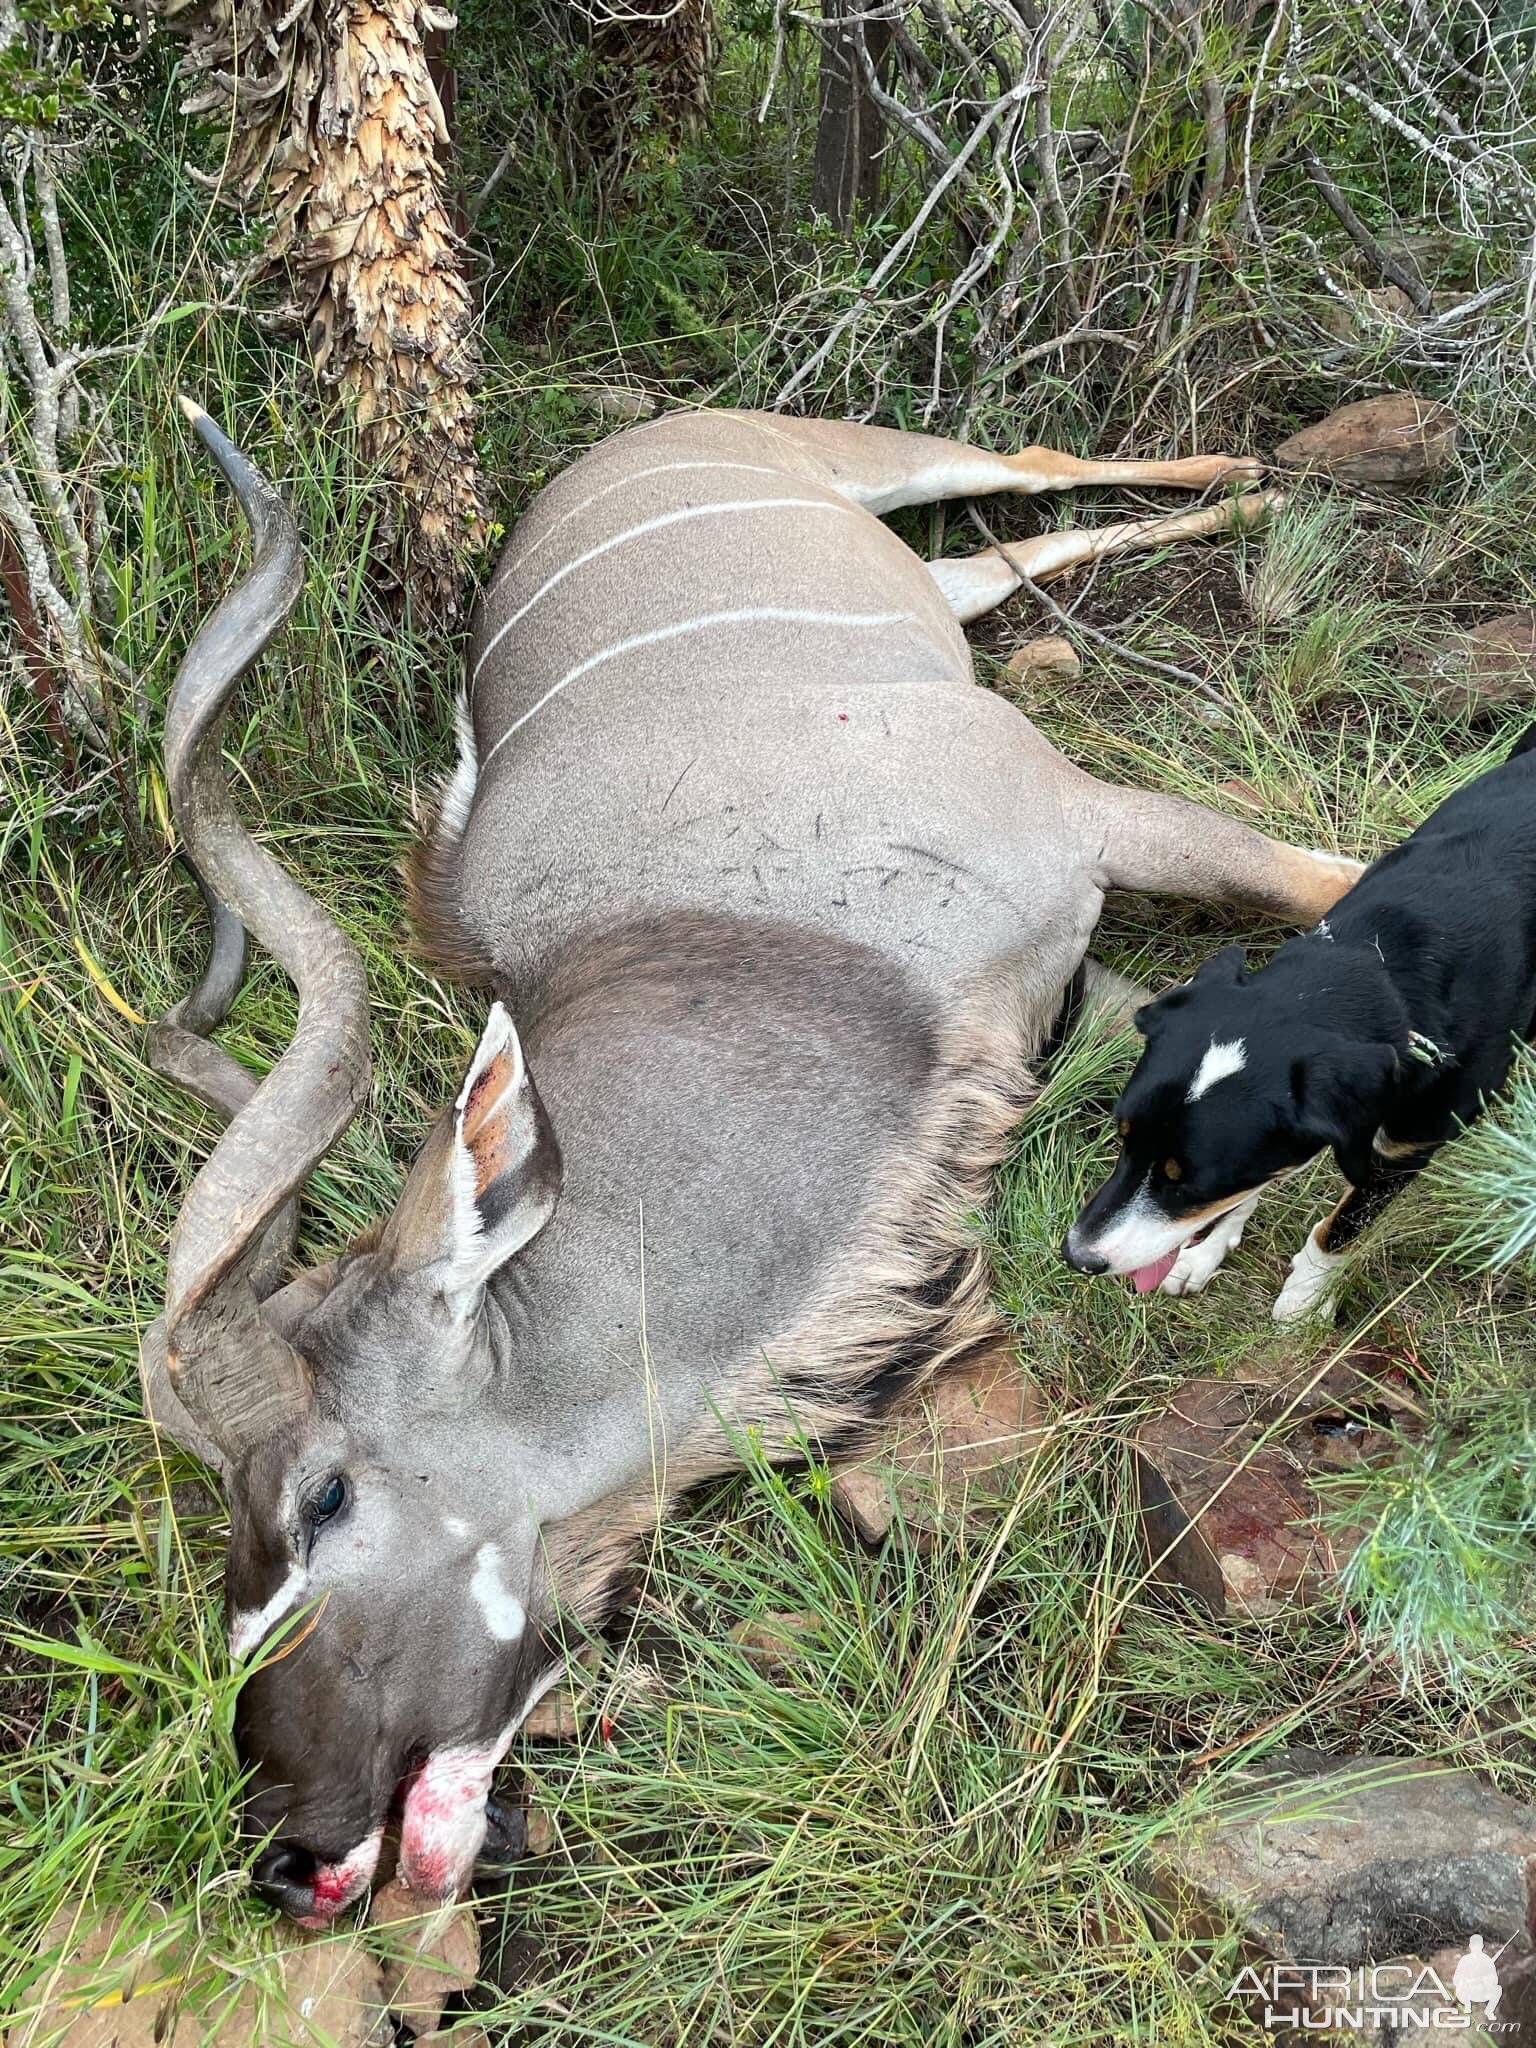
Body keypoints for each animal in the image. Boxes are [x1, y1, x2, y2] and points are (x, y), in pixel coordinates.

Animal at [138, 399, 1351, 1916]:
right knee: (1000, 563)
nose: (290, 1856)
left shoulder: (1094, 820)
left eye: (324, 1494)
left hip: (872, 462)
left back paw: (1252, 488)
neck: (764, 948)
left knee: (1033, 474)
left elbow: (1340, 894)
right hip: (931, 569)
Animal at [1064, 729, 1536, 1318]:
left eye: (1188, 1182)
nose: (1077, 1256)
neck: (1382, 963)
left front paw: (1305, 1301)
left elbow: (1344, 1227)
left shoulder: (1404, 1151)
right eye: (1122, 1137)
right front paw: (1204, 1254)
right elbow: (1254, 1188)